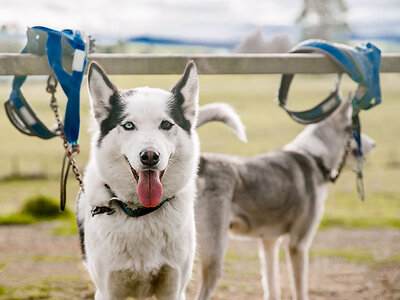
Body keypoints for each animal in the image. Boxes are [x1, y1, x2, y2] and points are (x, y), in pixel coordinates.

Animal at [195, 99, 376, 300]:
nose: (374, 144)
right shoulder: (298, 245)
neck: (314, 156)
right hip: (214, 257)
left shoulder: (269, 242)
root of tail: (202, 161)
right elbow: (300, 290)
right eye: (356, 130)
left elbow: (272, 287)